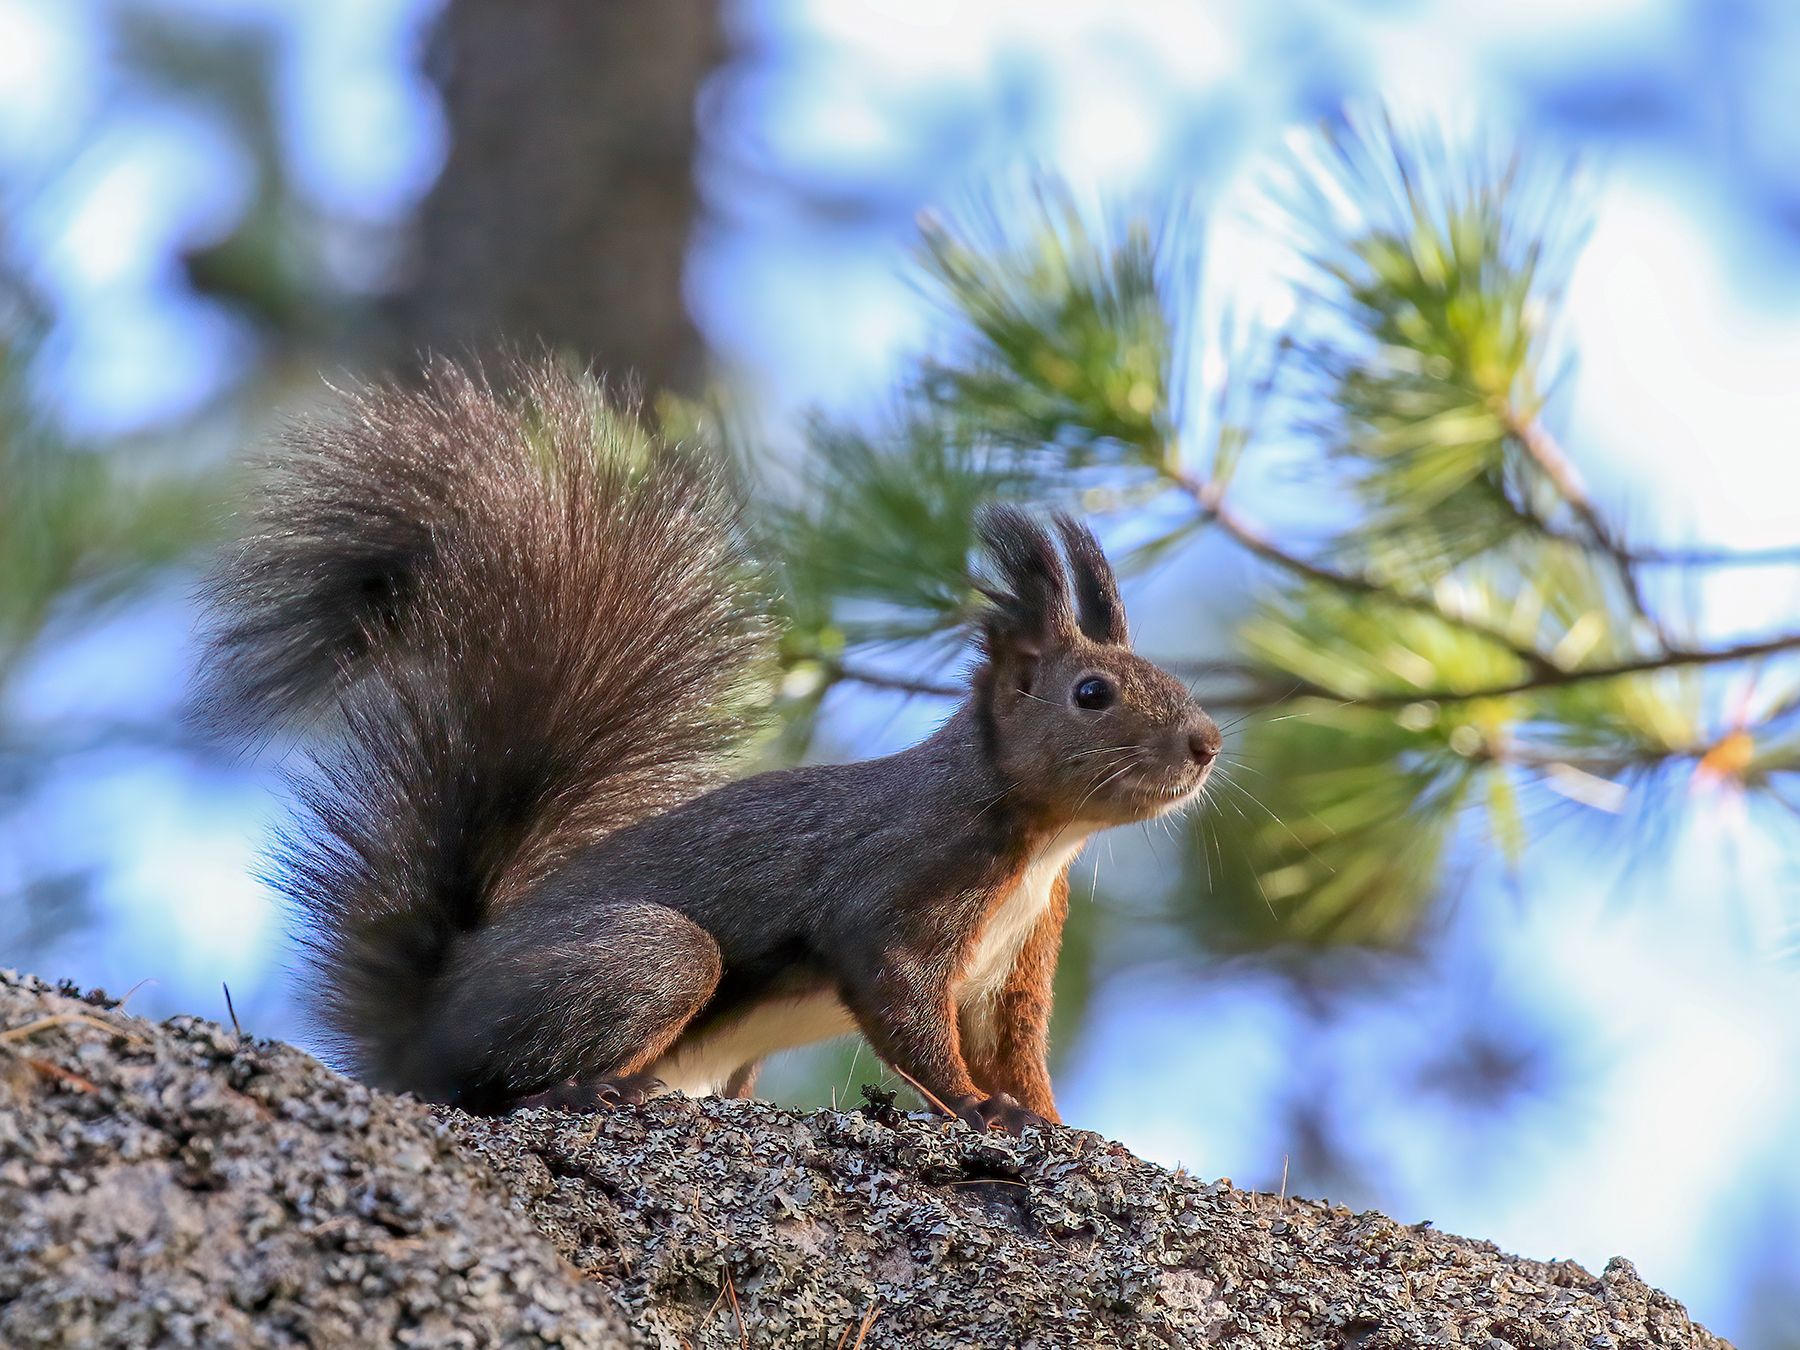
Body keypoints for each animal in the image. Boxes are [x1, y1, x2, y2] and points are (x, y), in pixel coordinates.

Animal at [200, 358, 1220, 1135]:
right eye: (1092, 694)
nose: (1207, 744)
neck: (1039, 837)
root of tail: (424, 1021)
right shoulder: (898, 890)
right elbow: (906, 1014)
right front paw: (976, 1110)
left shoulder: (1015, 970)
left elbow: (1017, 1051)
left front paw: (1049, 1121)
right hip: (647, 960)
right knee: (494, 1086)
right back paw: (588, 1091)